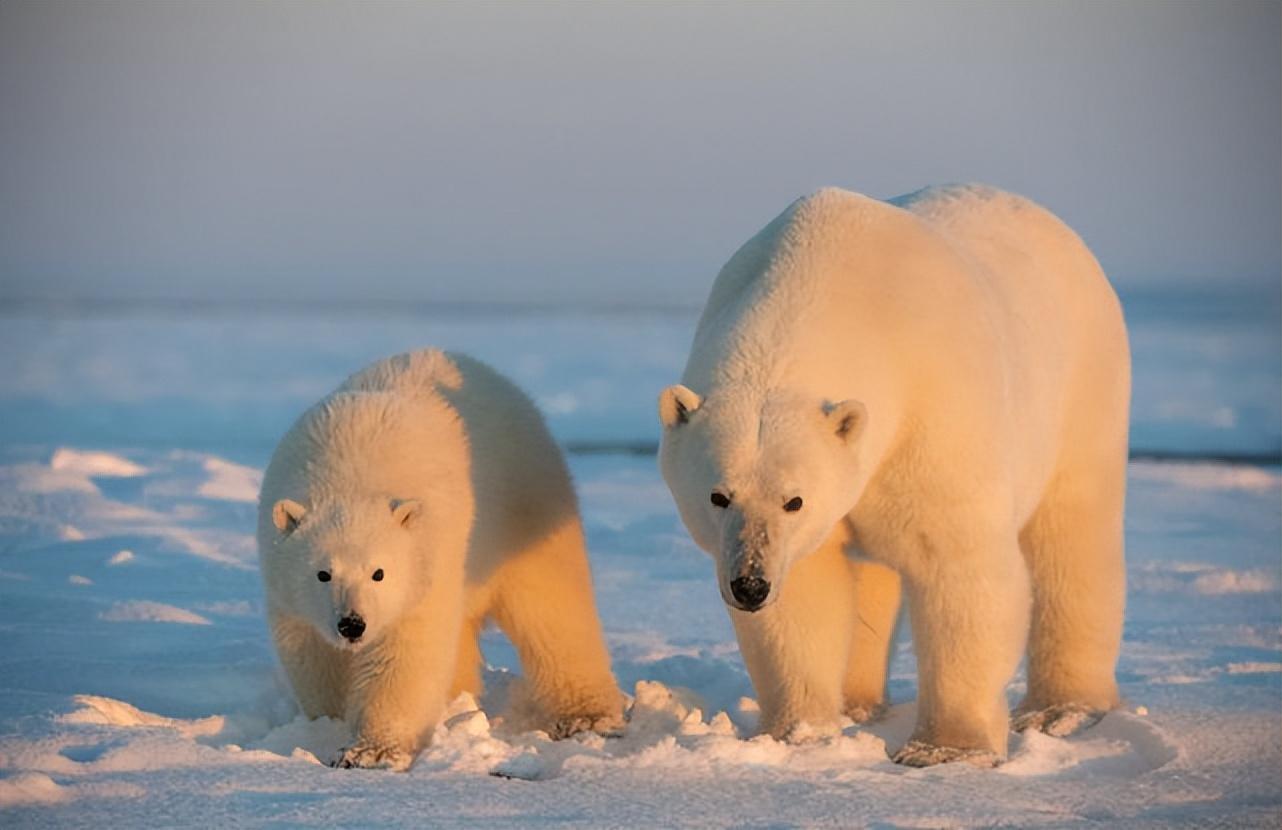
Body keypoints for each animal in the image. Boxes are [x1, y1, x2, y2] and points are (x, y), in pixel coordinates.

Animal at [256, 346, 625, 769]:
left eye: (379, 573)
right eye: (323, 573)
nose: (352, 625)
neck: (348, 476)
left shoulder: (426, 559)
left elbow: (406, 655)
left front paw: (371, 752)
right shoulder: (289, 593)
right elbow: (315, 655)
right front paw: (329, 727)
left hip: (525, 505)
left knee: (551, 608)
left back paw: (589, 715)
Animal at [661, 184, 1133, 769]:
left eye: (794, 500)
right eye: (718, 496)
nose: (749, 585)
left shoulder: (938, 410)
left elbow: (958, 567)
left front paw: (946, 749)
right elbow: (806, 591)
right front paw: (800, 734)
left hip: (1082, 385)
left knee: (1073, 534)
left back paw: (1062, 709)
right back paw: (860, 702)